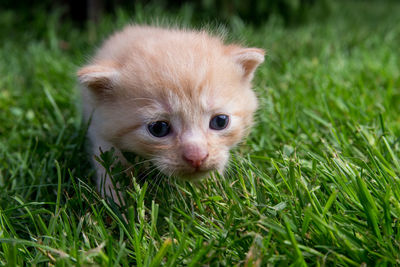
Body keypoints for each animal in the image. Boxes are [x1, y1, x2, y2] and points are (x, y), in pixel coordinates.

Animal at [78, 25, 266, 201]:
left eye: (220, 121)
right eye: (158, 128)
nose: (196, 157)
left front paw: (207, 189)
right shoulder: (101, 132)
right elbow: (110, 167)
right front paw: (115, 201)